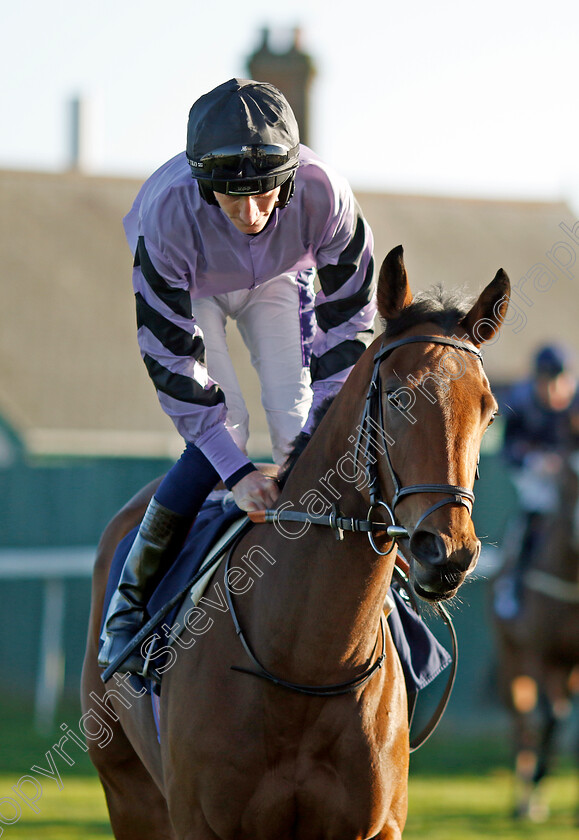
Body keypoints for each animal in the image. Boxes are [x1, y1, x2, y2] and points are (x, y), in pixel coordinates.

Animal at [82, 244, 512, 840]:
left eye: (488, 410)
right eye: (398, 396)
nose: (447, 552)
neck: (306, 664)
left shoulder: (376, 826)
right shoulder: (197, 820)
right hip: (128, 791)